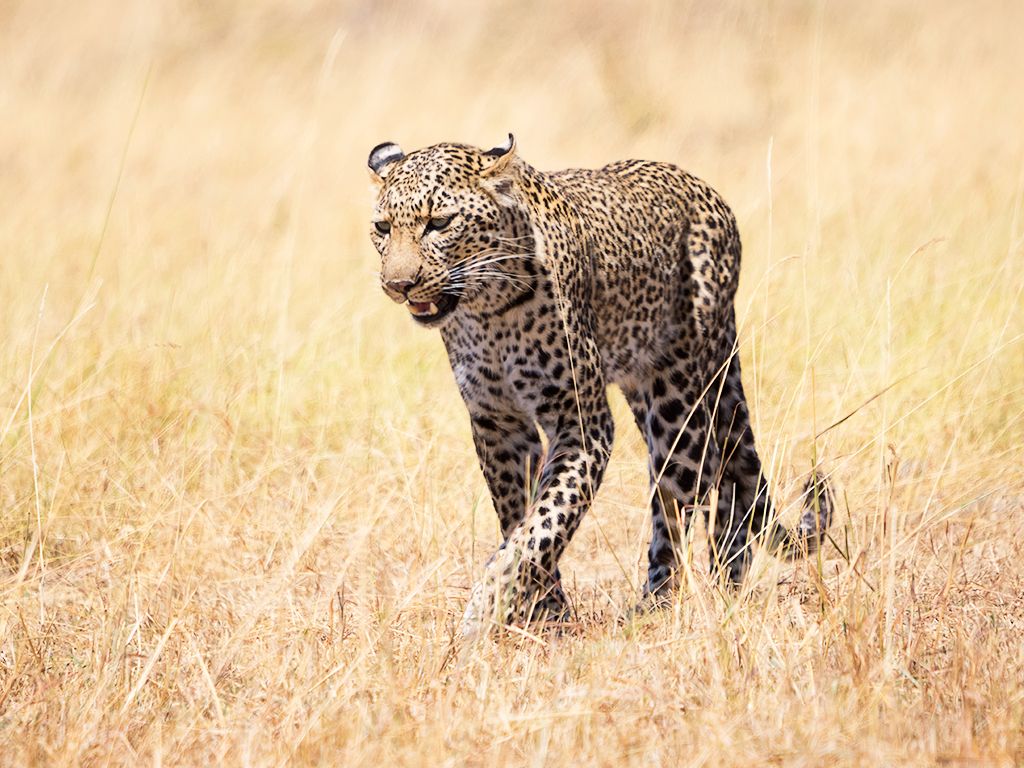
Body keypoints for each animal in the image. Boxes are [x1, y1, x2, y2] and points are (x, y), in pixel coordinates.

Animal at [367, 134, 834, 638]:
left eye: (440, 223)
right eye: (382, 227)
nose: (398, 284)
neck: (488, 309)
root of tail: (707, 193)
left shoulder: (581, 423)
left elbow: (545, 524)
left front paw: (489, 605)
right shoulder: (497, 424)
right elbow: (521, 519)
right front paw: (543, 610)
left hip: (679, 404)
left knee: (686, 497)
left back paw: (662, 606)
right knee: (728, 476)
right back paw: (728, 585)